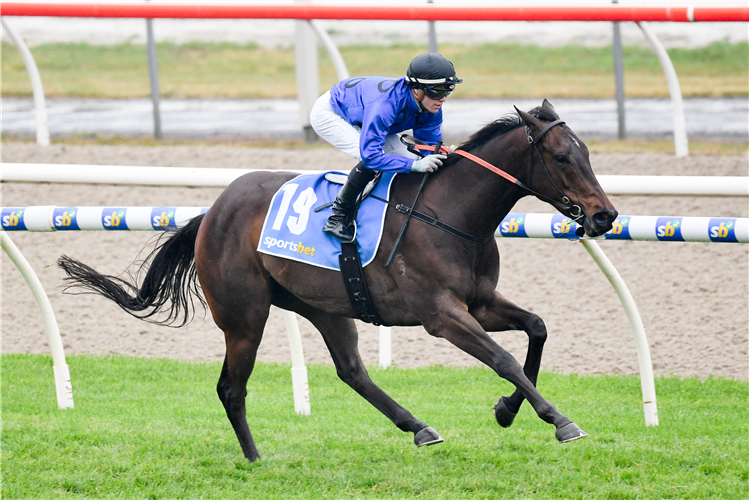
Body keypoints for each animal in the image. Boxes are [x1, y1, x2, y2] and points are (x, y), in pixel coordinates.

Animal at [58, 99, 616, 462]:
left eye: (589, 153)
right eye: (562, 158)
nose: (605, 215)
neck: (451, 213)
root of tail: (212, 211)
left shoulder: (478, 302)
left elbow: (537, 329)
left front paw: (507, 410)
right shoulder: (441, 314)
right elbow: (503, 359)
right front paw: (558, 420)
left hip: (326, 305)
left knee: (352, 371)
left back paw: (418, 428)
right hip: (244, 317)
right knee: (231, 387)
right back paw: (255, 457)